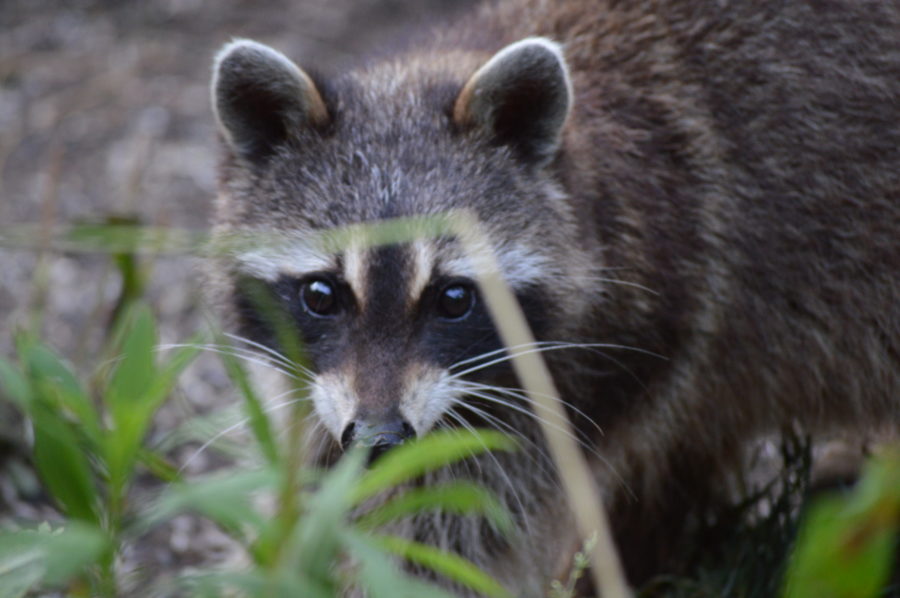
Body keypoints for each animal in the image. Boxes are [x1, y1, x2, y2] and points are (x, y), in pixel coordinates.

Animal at [207, 1, 900, 596]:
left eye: (453, 298)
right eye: (321, 294)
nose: (380, 435)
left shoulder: (620, 349)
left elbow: (449, 531)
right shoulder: (331, 384)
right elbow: (319, 469)